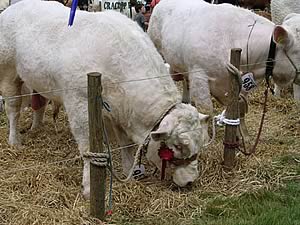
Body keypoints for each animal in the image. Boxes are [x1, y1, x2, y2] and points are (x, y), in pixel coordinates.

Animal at [0, 0, 210, 197]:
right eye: (178, 146)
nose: (190, 180)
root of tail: (15, 7)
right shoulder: (80, 105)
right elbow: (87, 146)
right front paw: (88, 187)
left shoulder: (121, 113)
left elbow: (127, 145)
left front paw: (130, 174)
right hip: (9, 74)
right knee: (13, 109)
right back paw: (14, 140)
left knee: (39, 103)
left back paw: (36, 127)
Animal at [147, 0, 300, 139]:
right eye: (298, 51)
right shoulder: (199, 75)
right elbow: (206, 110)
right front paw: (205, 140)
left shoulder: (242, 84)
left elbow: (239, 109)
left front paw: (241, 136)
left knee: (186, 83)